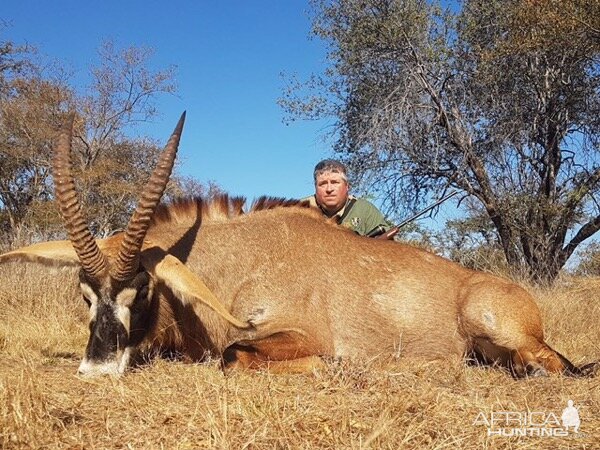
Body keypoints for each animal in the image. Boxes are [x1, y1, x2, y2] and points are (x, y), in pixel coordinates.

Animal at [0, 114, 596, 378]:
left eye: (140, 290)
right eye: (84, 295)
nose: (97, 369)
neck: (234, 263)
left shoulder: (298, 334)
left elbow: (235, 355)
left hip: (494, 324)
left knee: (548, 363)